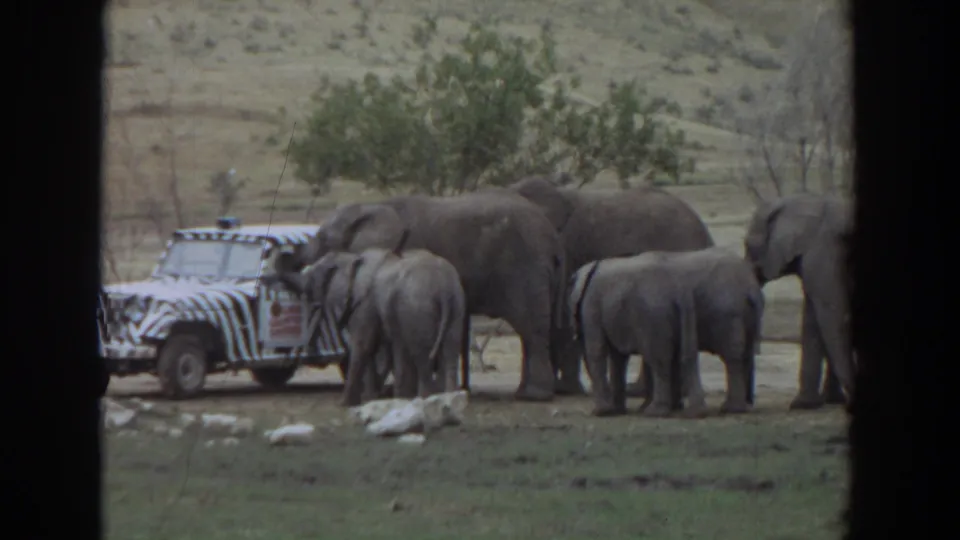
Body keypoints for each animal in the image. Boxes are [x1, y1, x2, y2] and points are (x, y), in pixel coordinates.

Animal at [275, 237, 466, 406]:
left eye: (311, 283)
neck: (351, 260)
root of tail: (443, 287)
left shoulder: (365, 304)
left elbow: (363, 345)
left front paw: (345, 404)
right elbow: (379, 348)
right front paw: (372, 398)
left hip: (418, 308)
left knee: (422, 352)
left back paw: (425, 398)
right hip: (456, 304)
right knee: (450, 349)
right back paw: (448, 399)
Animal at [301, 190, 567, 402]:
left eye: (323, 239)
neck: (373, 206)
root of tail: (553, 239)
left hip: (524, 269)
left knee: (530, 328)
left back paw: (533, 396)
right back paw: (525, 392)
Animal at [568, 253, 700, 418]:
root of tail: (677, 290)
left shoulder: (591, 305)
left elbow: (597, 350)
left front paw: (601, 412)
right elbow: (617, 358)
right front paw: (616, 411)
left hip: (654, 317)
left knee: (658, 361)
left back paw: (655, 412)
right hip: (687, 309)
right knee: (687, 354)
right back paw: (692, 412)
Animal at [631, 247, 766, 414]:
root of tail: (750, 287)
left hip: (727, 313)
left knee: (732, 355)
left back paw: (731, 408)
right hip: (745, 313)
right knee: (745, 352)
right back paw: (742, 405)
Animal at [743, 193, 854, 410]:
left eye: (747, 244)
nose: (750, 403)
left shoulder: (821, 254)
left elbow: (828, 315)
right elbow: (813, 319)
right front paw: (810, 403)